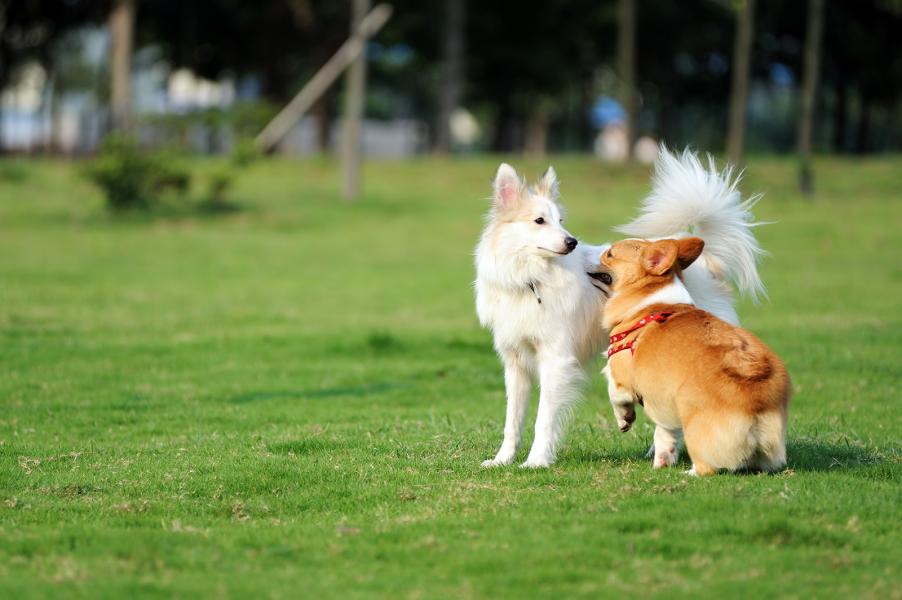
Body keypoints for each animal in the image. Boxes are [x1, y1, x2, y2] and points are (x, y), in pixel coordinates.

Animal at [476, 148, 768, 466]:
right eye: (539, 221)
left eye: (561, 220)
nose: (572, 242)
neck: (533, 278)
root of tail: (705, 261)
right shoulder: (515, 362)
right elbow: (512, 420)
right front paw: (502, 460)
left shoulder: (556, 360)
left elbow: (544, 419)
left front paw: (536, 461)